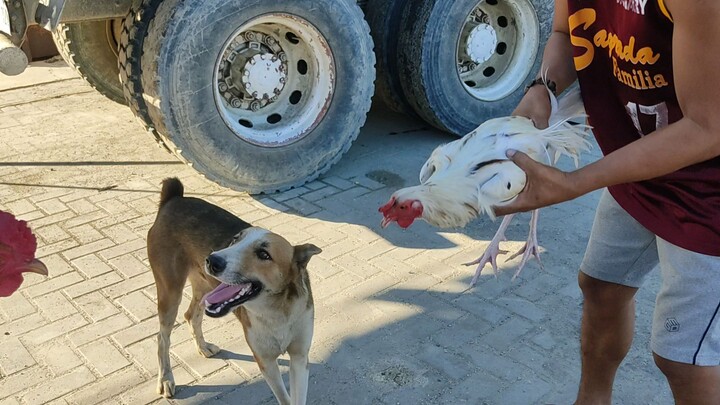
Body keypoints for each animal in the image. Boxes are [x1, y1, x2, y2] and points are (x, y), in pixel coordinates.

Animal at [146, 178, 320, 402]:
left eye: (264, 254)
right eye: (235, 240)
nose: (212, 260)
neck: (277, 311)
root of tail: (174, 199)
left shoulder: (299, 358)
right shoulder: (266, 362)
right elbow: (283, 397)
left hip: (204, 285)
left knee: (191, 315)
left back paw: (203, 346)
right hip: (170, 290)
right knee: (162, 337)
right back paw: (166, 378)